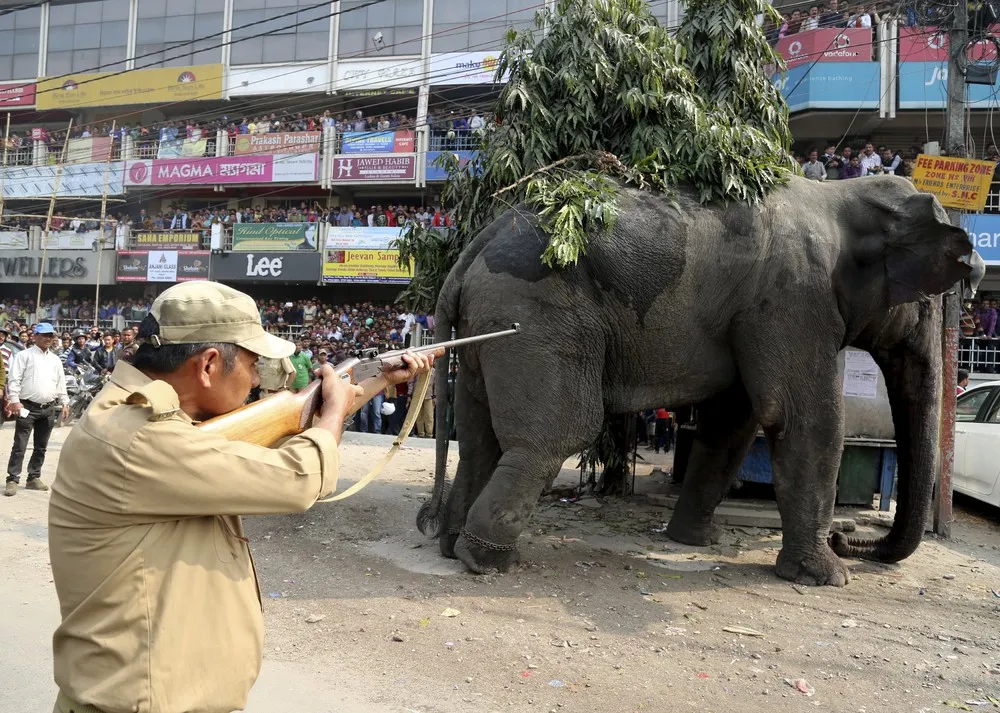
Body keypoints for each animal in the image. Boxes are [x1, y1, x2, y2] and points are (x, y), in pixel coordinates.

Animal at [417, 174, 975, 587]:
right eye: (929, 301)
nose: (846, 539)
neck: (841, 194)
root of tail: (474, 247)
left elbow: (733, 421)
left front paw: (695, 543)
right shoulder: (795, 298)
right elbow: (801, 419)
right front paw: (827, 578)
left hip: (487, 329)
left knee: (480, 434)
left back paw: (450, 545)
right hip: (533, 317)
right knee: (558, 434)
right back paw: (487, 562)